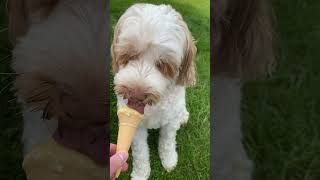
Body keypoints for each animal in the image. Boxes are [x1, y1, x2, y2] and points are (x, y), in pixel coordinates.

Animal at [112, 3, 196, 180]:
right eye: (129, 55)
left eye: (163, 64)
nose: (136, 94)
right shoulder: (135, 126)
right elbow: (140, 153)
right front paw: (140, 174)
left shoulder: (170, 122)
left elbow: (167, 142)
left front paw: (169, 161)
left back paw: (183, 117)